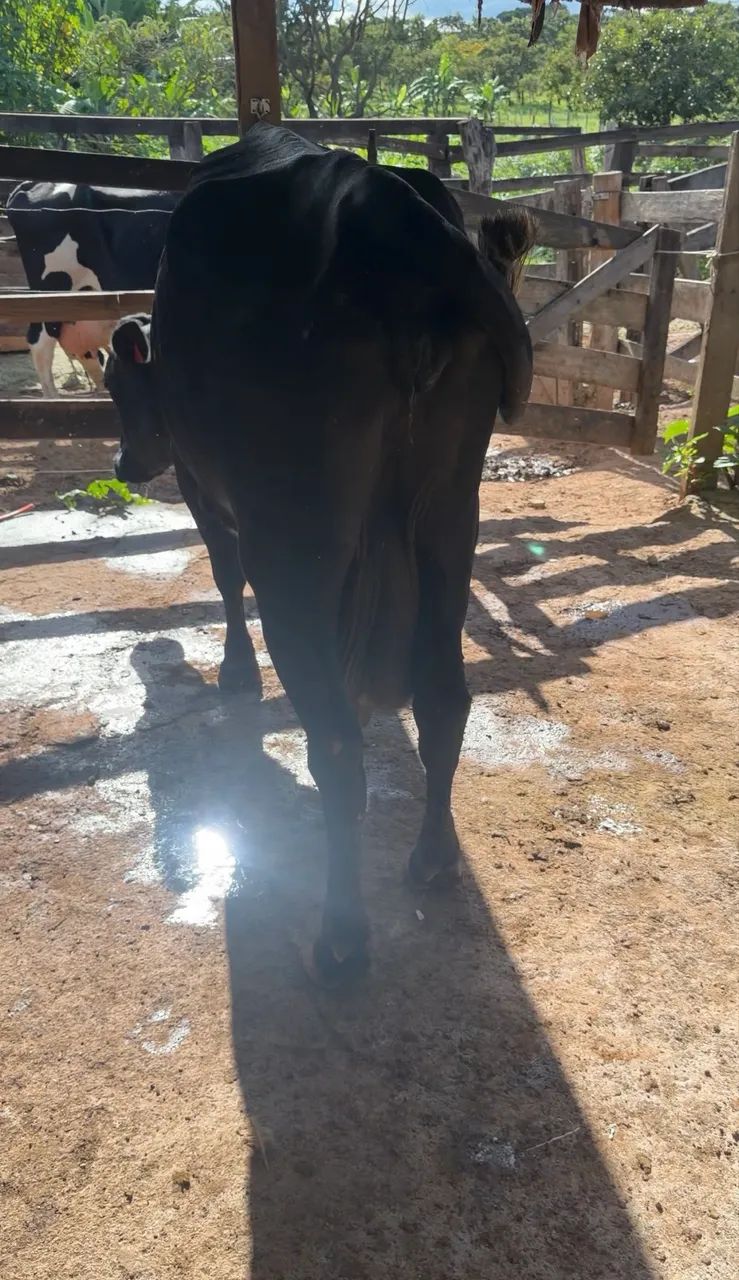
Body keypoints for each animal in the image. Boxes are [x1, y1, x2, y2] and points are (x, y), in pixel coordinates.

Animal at [105, 124, 534, 980]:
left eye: (111, 384)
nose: (123, 464)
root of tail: (388, 211)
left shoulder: (205, 490)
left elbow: (222, 576)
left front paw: (236, 674)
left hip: (296, 543)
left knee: (334, 742)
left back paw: (340, 935)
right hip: (449, 519)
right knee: (443, 698)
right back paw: (431, 857)